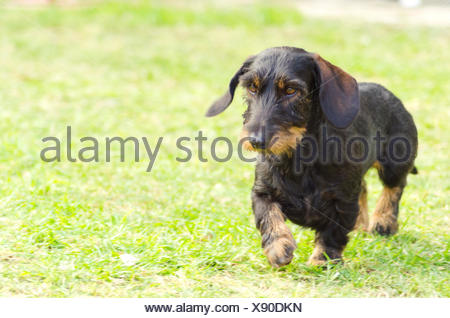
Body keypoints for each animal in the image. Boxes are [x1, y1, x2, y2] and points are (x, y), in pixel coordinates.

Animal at [207, 46, 418, 266]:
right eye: (252, 88)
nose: (256, 140)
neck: (299, 157)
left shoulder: (342, 201)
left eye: (291, 90)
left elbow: (333, 232)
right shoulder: (262, 192)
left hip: (395, 163)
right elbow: (268, 215)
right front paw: (278, 247)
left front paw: (323, 260)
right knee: (365, 188)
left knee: (394, 186)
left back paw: (383, 221)